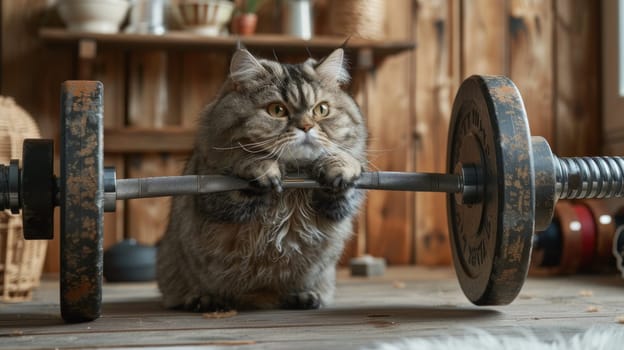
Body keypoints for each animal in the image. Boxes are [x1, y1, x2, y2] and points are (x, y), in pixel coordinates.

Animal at [156, 47, 368, 312]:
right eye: (277, 110)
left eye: (321, 110)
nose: (306, 127)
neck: (293, 180)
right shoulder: (215, 197)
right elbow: (246, 166)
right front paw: (261, 166)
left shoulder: (338, 206)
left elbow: (344, 173)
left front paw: (340, 164)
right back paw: (205, 300)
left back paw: (303, 297)